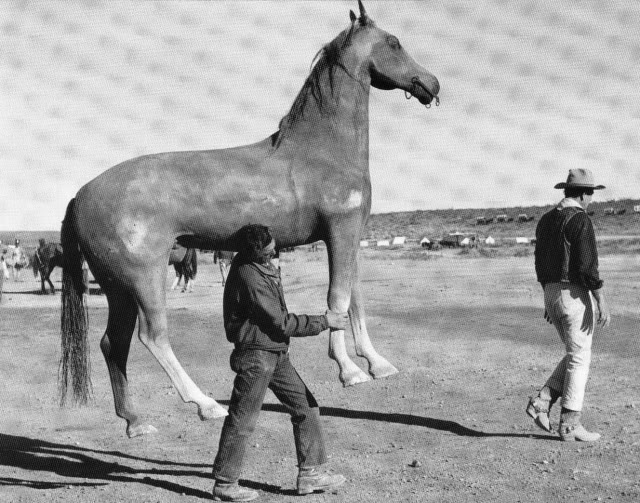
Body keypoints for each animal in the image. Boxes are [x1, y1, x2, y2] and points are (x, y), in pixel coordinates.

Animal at [59, 1, 439, 438]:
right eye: (393, 42)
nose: (432, 84)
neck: (323, 150)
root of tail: (81, 194)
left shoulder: (348, 238)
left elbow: (354, 298)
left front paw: (377, 364)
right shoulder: (339, 233)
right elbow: (338, 299)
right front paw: (350, 371)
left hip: (117, 287)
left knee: (113, 344)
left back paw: (136, 423)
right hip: (143, 279)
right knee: (152, 337)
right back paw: (205, 405)